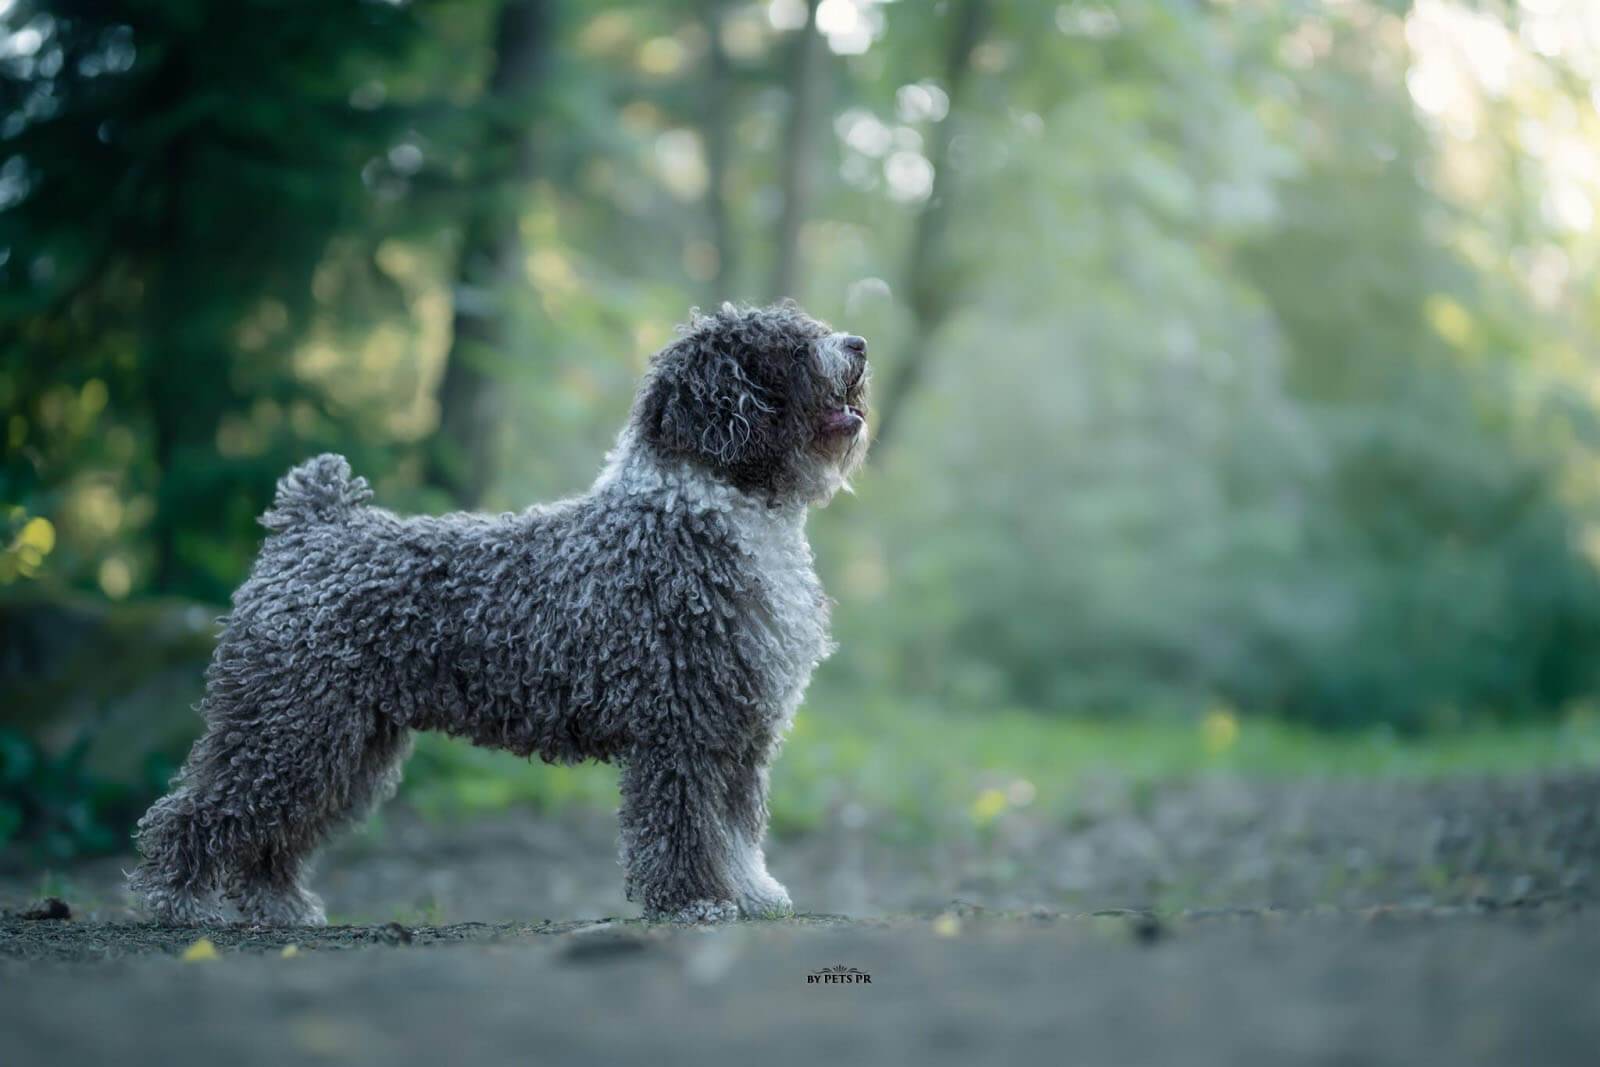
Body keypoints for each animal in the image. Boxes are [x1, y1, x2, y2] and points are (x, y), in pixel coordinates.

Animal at [129, 302, 870, 927]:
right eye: (788, 347)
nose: (859, 343)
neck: (713, 509)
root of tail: (308, 528)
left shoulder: (739, 731)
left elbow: (736, 828)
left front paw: (753, 893)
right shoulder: (682, 728)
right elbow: (687, 826)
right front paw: (697, 900)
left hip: (346, 741)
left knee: (277, 831)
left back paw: (277, 906)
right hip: (290, 725)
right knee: (201, 808)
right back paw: (178, 900)